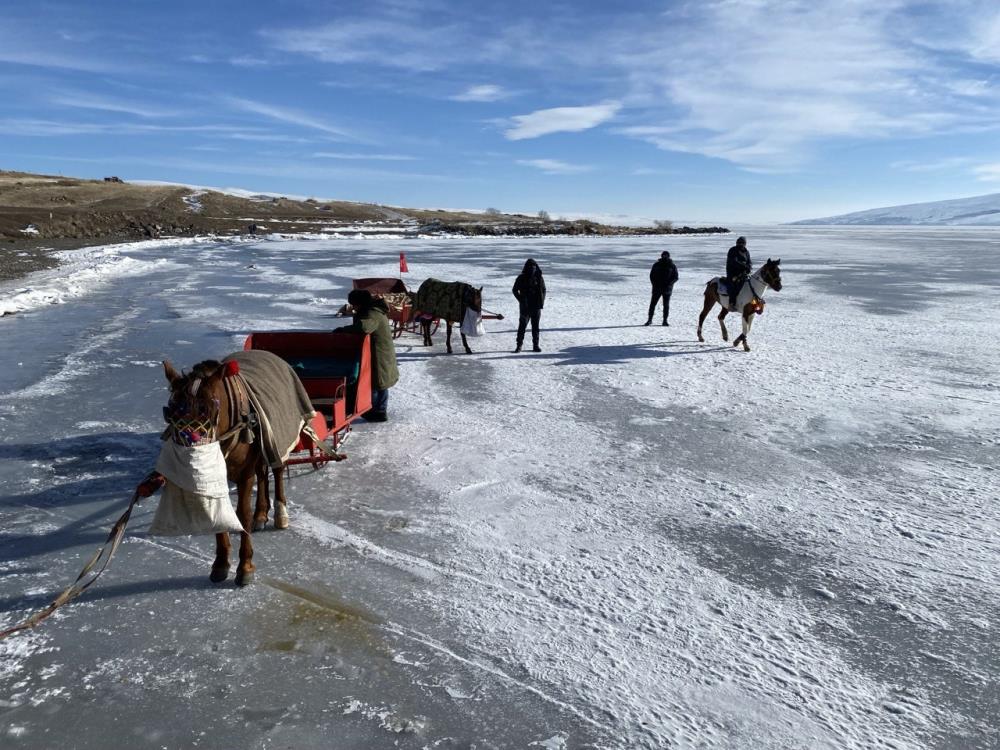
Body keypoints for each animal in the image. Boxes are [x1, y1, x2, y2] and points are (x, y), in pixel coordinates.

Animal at [159, 358, 286, 588]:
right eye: (170, 414)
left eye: (210, 411)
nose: (190, 461)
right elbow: (217, 515)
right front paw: (220, 564)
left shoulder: (245, 473)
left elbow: (242, 514)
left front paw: (245, 566)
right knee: (262, 473)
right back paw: (261, 514)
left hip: (275, 439)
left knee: (277, 468)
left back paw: (281, 513)